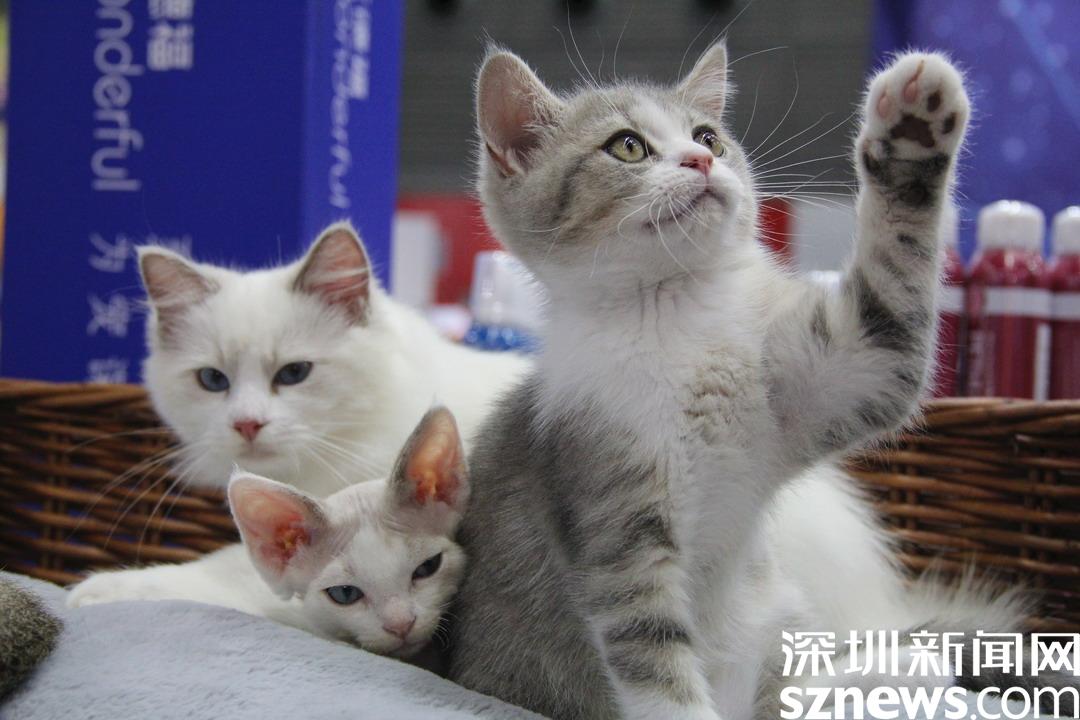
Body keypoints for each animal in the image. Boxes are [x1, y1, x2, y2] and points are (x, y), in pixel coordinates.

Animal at [448, 42, 1025, 720]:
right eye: (627, 146)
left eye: (709, 137)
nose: (700, 160)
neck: (678, 319)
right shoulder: (606, 506)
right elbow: (652, 652)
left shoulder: (850, 367)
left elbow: (888, 318)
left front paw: (912, 131)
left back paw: (901, 668)